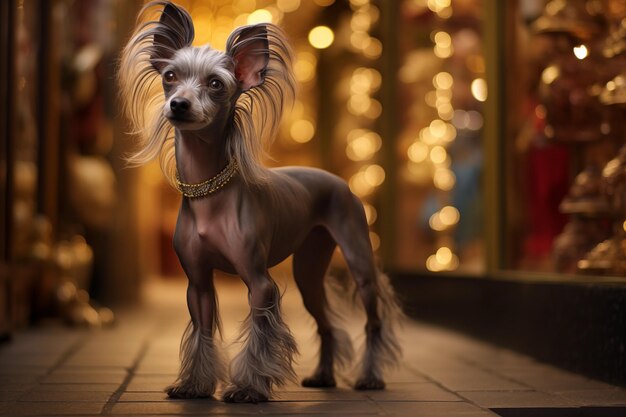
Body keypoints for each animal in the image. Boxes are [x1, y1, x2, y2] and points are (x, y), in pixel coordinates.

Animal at [117, 0, 400, 404]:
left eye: (216, 84)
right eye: (170, 76)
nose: (179, 104)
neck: (209, 193)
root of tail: (336, 179)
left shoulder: (260, 283)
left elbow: (259, 338)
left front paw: (249, 388)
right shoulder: (198, 284)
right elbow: (202, 335)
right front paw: (194, 384)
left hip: (359, 263)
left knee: (373, 322)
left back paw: (370, 377)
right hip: (308, 273)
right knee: (327, 324)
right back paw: (324, 375)